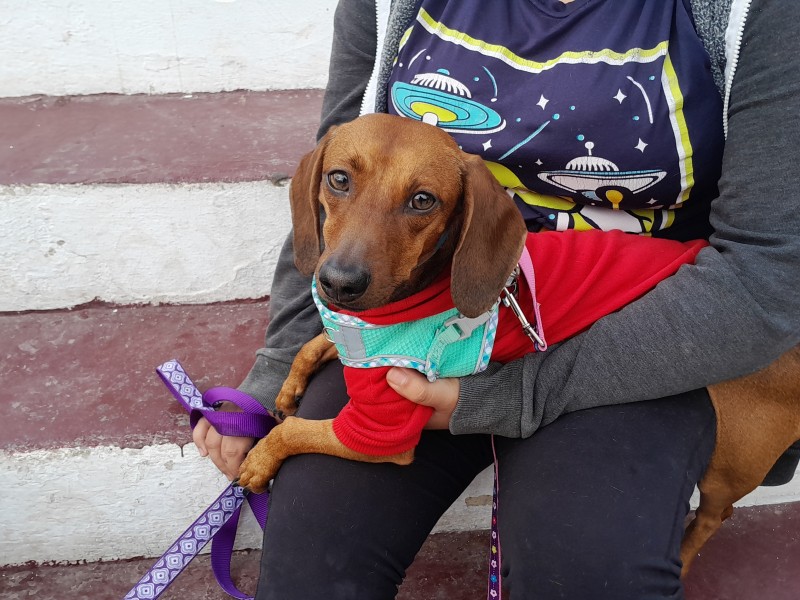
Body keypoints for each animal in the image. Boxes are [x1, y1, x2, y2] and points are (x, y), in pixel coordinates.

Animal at [238, 111, 800, 572]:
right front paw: (287, 388)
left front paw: (260, 458)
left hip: (732, 457)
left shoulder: (379, 432)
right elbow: (314, 347)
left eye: (423, 200)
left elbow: (295, 433)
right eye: (339, 179)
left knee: (716, 513)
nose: (340, 283)